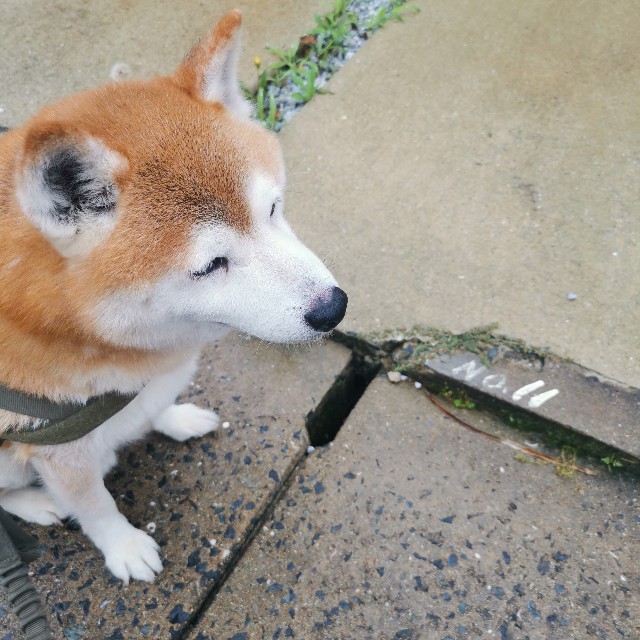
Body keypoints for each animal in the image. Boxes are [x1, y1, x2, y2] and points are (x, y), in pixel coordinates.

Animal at [0, 11, 347, 584]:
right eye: (209, 266)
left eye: (273, 209)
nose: (333, 307)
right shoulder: (60, 455)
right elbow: (96, 507)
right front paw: (123, 546)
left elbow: (154, 402)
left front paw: (174, 417)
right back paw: (35, 503)